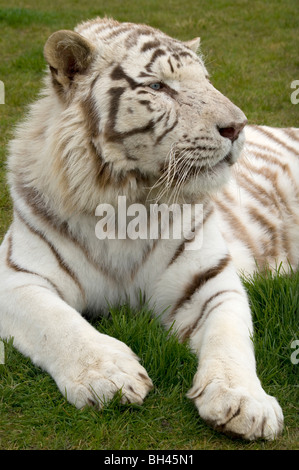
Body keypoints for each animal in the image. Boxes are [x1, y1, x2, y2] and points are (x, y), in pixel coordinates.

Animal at [0, 15, 299, 440]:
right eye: (159, 87)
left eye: (206, 80)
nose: (237, 127)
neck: (126, 207)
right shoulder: (18, 277)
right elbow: (56, 323)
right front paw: (108, 375)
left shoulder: (210, 281)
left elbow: (231, 336)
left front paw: (244, 401)